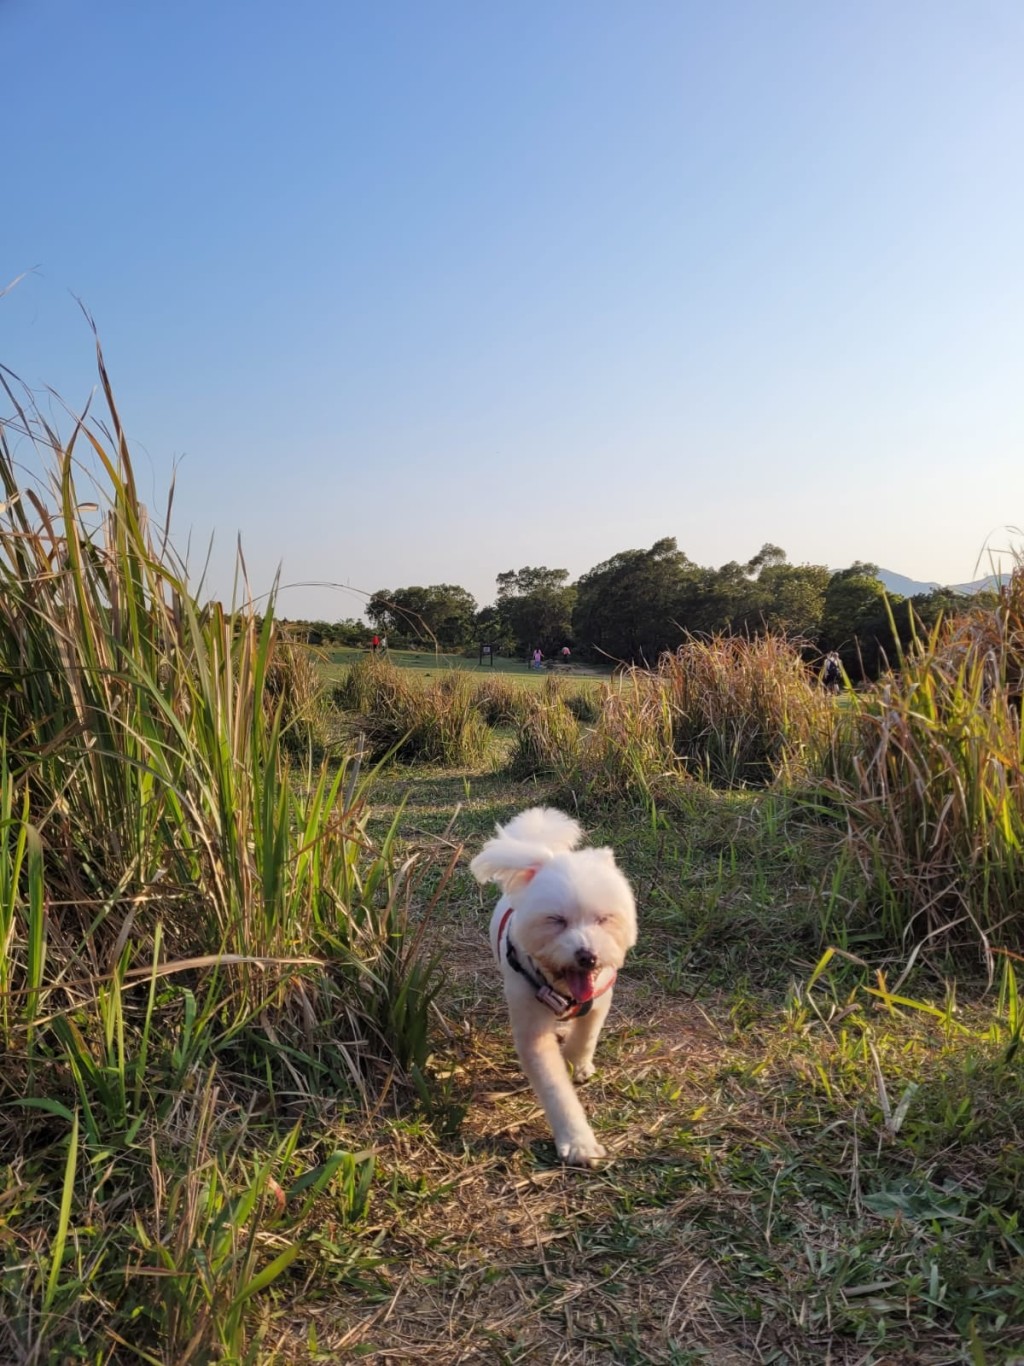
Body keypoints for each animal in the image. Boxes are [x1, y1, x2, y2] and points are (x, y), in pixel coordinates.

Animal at [472, 803, 633, 1169]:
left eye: (603, 919)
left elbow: (587, 1034)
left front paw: (576, 1061)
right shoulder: (533, 1030)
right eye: (556, 921)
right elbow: (555, 1089)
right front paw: (577, 1141)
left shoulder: (600, 997)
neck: (564, 988)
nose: (587, 955)